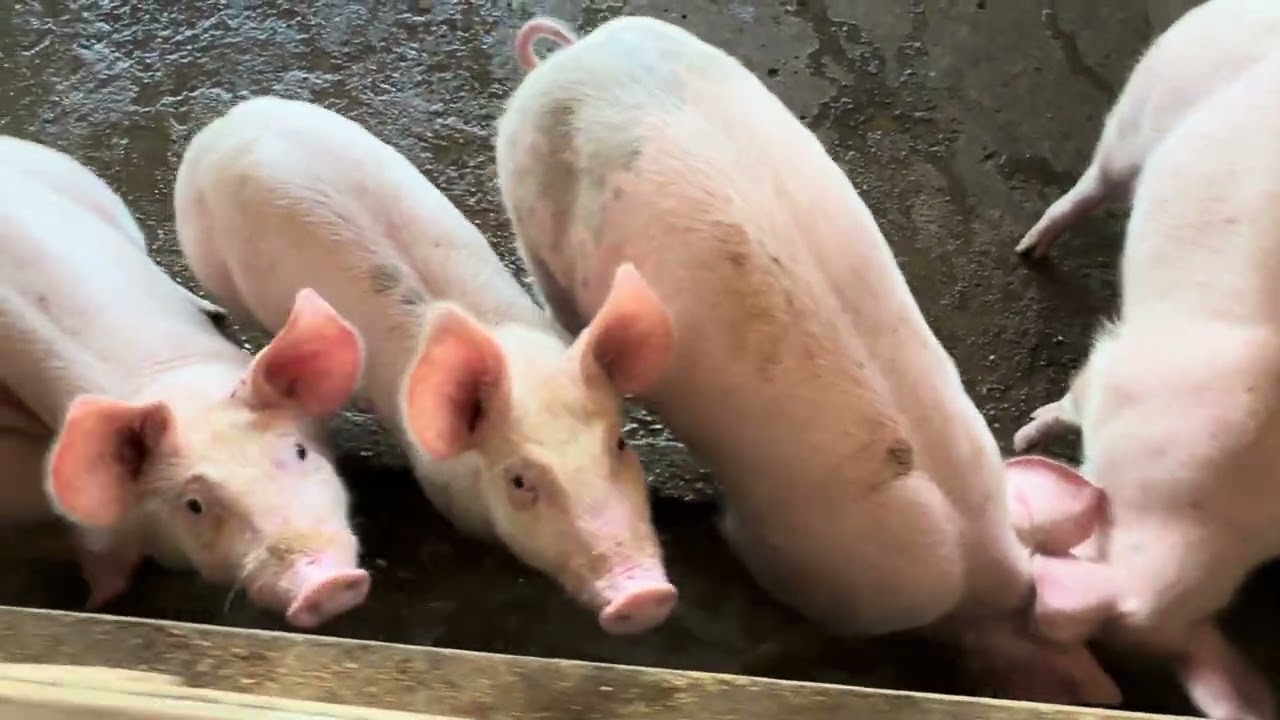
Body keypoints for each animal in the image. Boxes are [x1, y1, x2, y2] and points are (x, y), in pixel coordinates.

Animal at [1011, 50, 1280, 720]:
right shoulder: (1112, 372)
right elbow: (1067, 403)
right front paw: (1026, 436)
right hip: (1145, 103)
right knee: (1099, 178)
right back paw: (1031, 248)